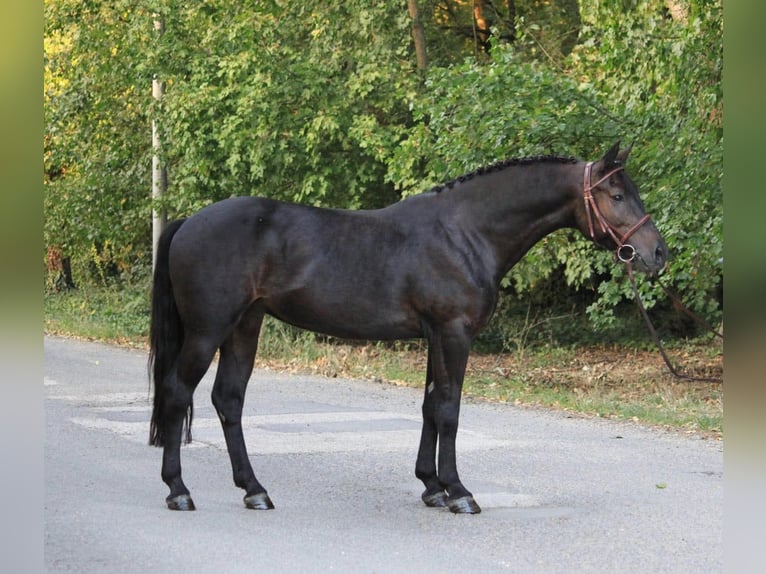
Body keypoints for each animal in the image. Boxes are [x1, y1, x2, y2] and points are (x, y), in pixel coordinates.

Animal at [148, 142, 667, 514]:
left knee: (228, 399)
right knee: (176, 393)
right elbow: (450, 409)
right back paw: (178, 490)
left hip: (245, 326)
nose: (657, 253)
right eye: (616, 195)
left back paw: (254, 489)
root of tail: (188, 221)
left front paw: (432, 486)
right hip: (207, 331)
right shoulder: (454, 333)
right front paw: (459, 492)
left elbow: (430, 407)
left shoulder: (436, 336)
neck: (465, 233)